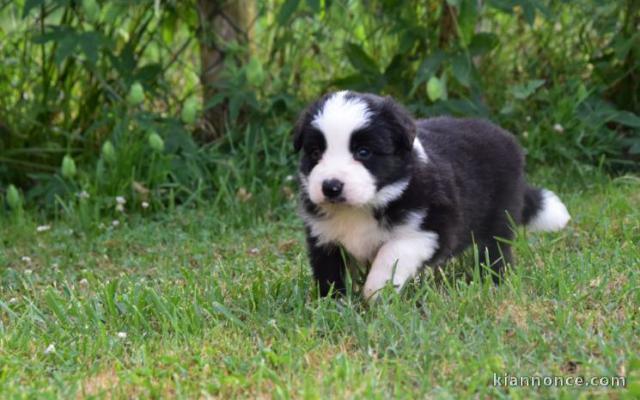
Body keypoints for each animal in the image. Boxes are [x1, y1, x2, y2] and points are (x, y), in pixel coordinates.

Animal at [294, 92, 568, 302]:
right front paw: (331, 304)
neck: (361, 208)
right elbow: (329, 273)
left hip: (499, 217)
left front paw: (376, 292)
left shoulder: (430, 229)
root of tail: (506, 137)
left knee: (495, 251)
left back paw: (493, 282)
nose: (331, 187)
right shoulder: (325, 236)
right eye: (315, 152)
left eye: (363, 152)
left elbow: (390, 254)